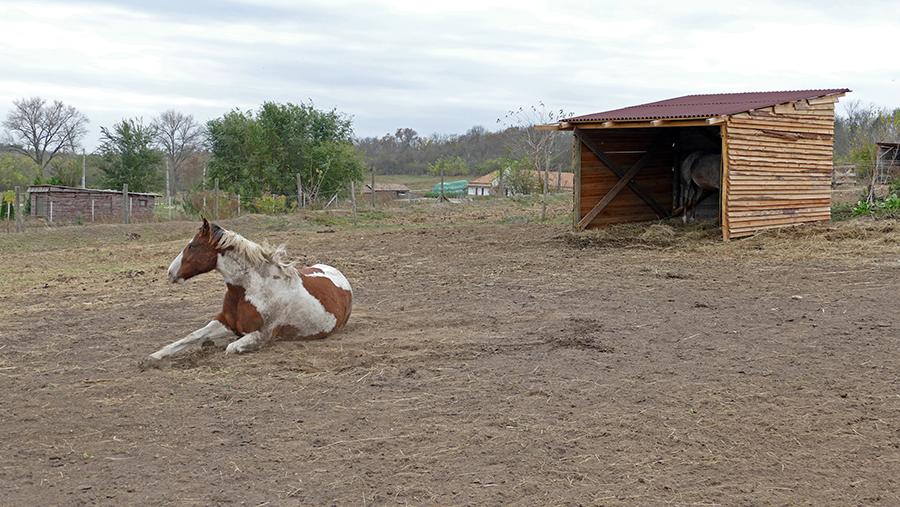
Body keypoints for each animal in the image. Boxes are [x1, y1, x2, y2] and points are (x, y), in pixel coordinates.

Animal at [140, 218, 352, 369]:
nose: (170, 272)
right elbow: (190, 337)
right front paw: (151, 358)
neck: (248, 291)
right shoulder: (224, 322)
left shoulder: (262, 336)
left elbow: (230, 348)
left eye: (192, 246)